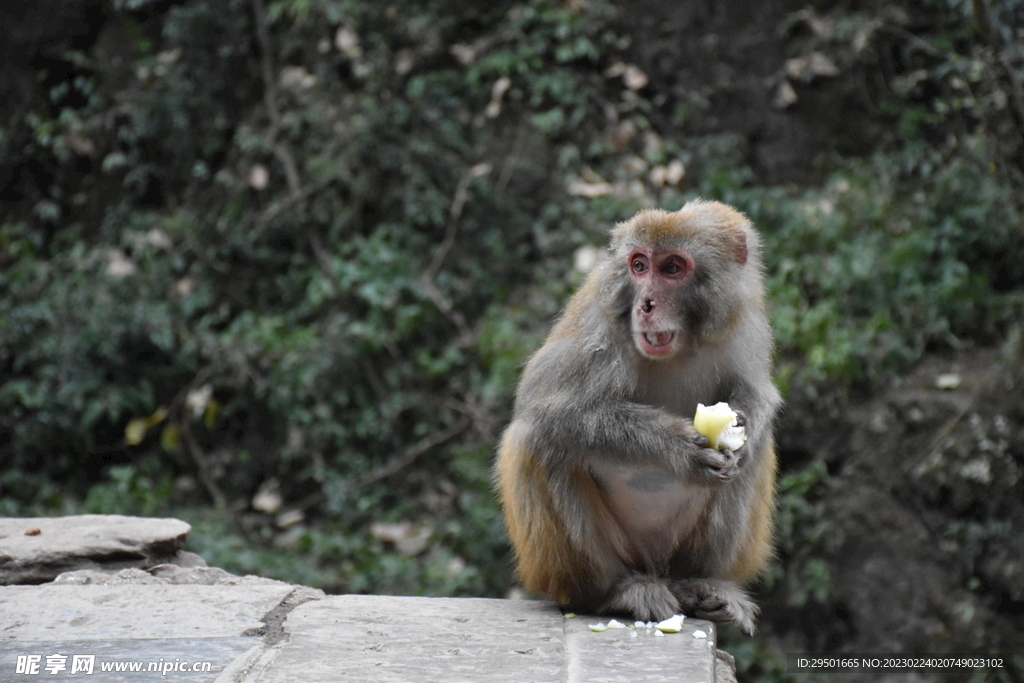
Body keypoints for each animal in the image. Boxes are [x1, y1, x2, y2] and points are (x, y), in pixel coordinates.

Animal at [493, 198, 774, 634]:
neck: (685, 342)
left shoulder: (745, 322)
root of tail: (654, 565)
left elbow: (758, 397)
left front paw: (739, 433)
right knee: (537, 438)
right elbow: (544, 407)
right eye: (639, 265)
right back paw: (614, 593)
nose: (645, 305)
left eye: (672, 268)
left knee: (757, 452)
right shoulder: (598, 323)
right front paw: (677, 448)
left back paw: (700, 583)